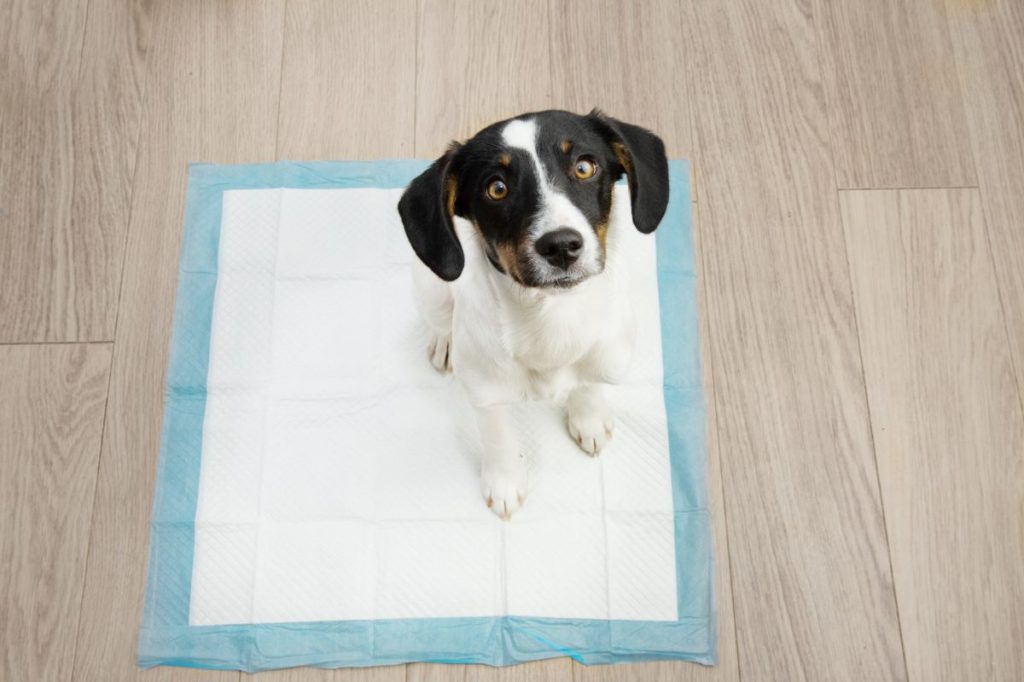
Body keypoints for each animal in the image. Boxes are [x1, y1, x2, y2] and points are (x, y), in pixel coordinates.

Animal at [395, 109, 667, 518]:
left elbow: (590, 384)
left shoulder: (606, 355)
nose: (561, 246)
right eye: (496, 188)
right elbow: (498, 437)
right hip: (431, 289)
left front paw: (588, 419)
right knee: (441, 320)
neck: (552, 317)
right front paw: (504, 484)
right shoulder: (487, 393)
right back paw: (445, 344)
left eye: (585, 167)